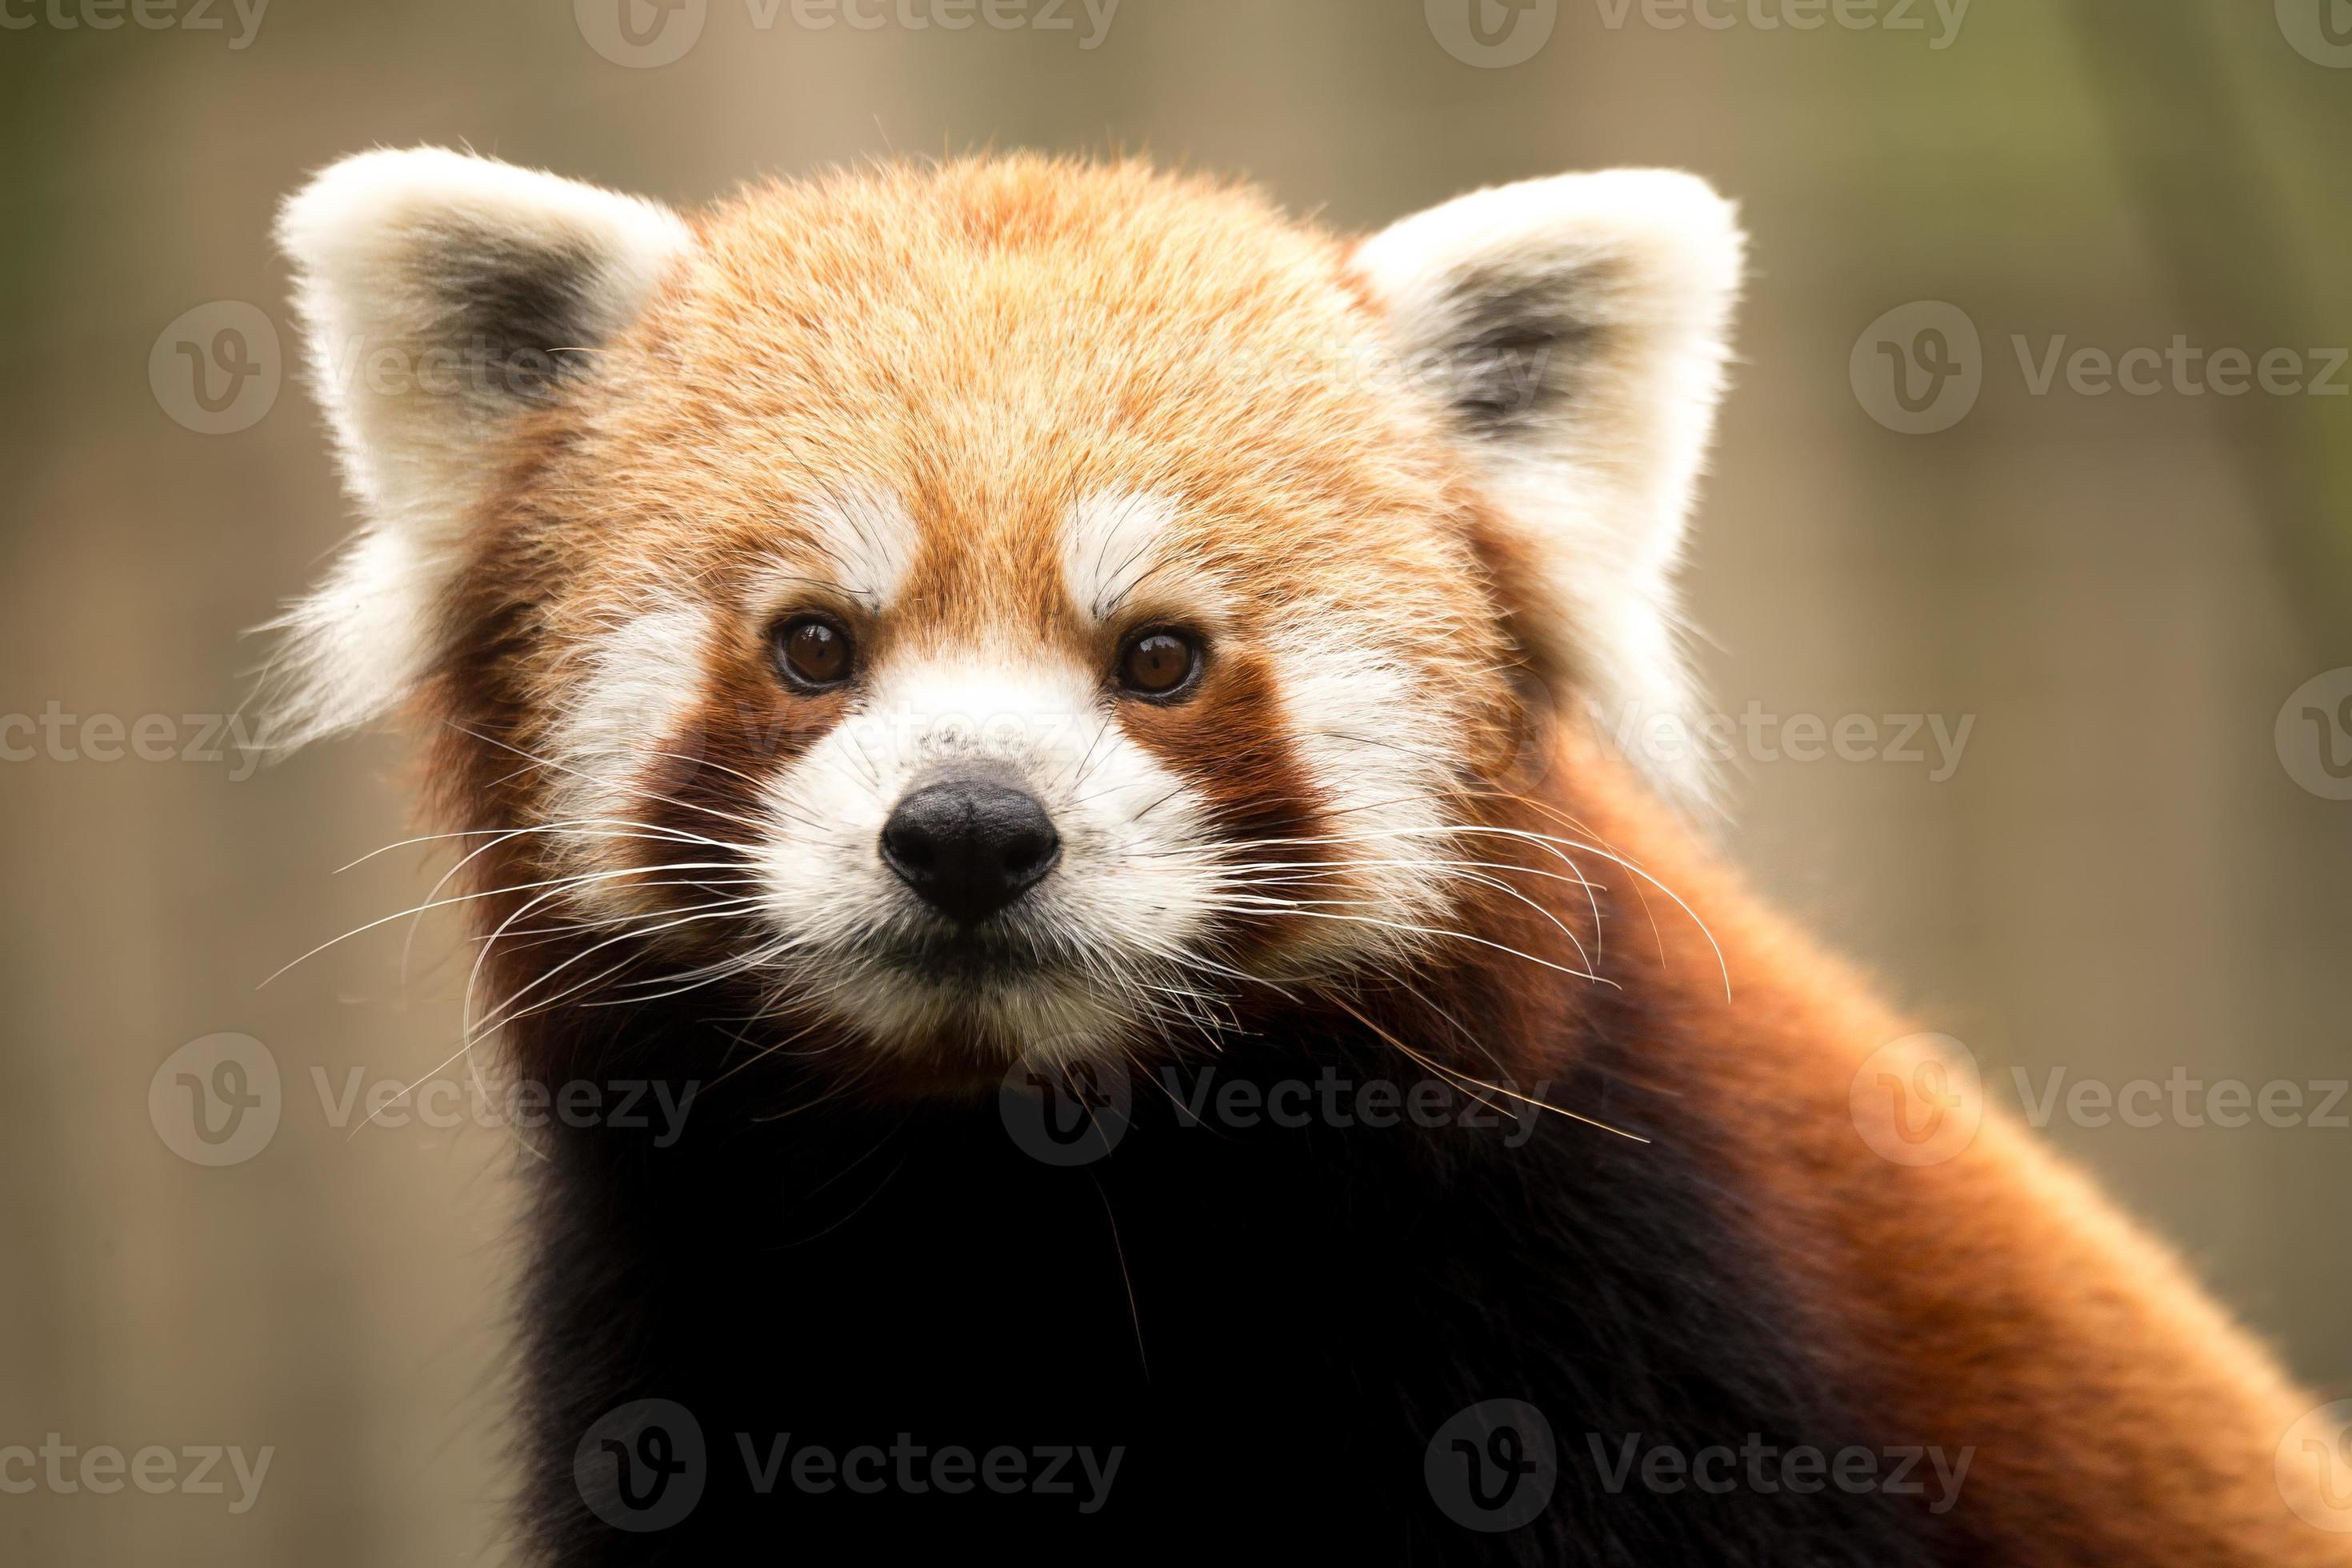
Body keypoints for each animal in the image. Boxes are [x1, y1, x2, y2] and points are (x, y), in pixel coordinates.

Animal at [270, 143, 2333, 1561]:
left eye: (1162, 656)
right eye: (813, 644)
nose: (970, 832)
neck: (1028, 1218)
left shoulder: (1649, 1331)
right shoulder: (693, 1349)